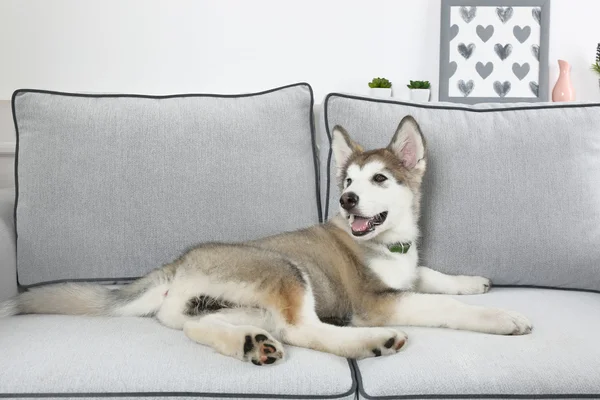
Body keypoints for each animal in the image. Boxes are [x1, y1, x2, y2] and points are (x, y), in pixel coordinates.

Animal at [0, 116, 536, 366]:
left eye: (380, 179)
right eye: (348, 182)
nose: (346, 200)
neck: (388, 243)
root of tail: (178, 261)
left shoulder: (406, 272)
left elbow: (430, 275)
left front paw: (472, 281)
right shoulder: (375, 300)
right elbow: (440, 306)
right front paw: (502, 317)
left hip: (230, 304)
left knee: (198, 327)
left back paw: (249, 345)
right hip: (283, 270)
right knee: (304, 329)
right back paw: (372, 343)